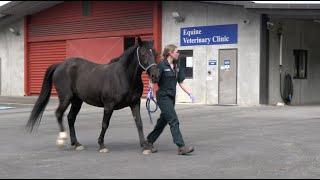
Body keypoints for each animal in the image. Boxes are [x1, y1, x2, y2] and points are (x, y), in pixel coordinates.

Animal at [25, 37, 159, 154]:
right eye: (143, 54)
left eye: (155, 54)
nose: (155, 76)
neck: (123, 76)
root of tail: (60, 65)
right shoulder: (109, 105)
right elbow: (105, 124)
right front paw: (102, 145)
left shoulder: (134, 103)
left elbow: (139, 123)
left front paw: (145, 146)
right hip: (65, 98)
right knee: (59, 114)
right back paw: (62, 139)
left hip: (77, 101)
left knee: (70, 118)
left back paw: (76, 144)